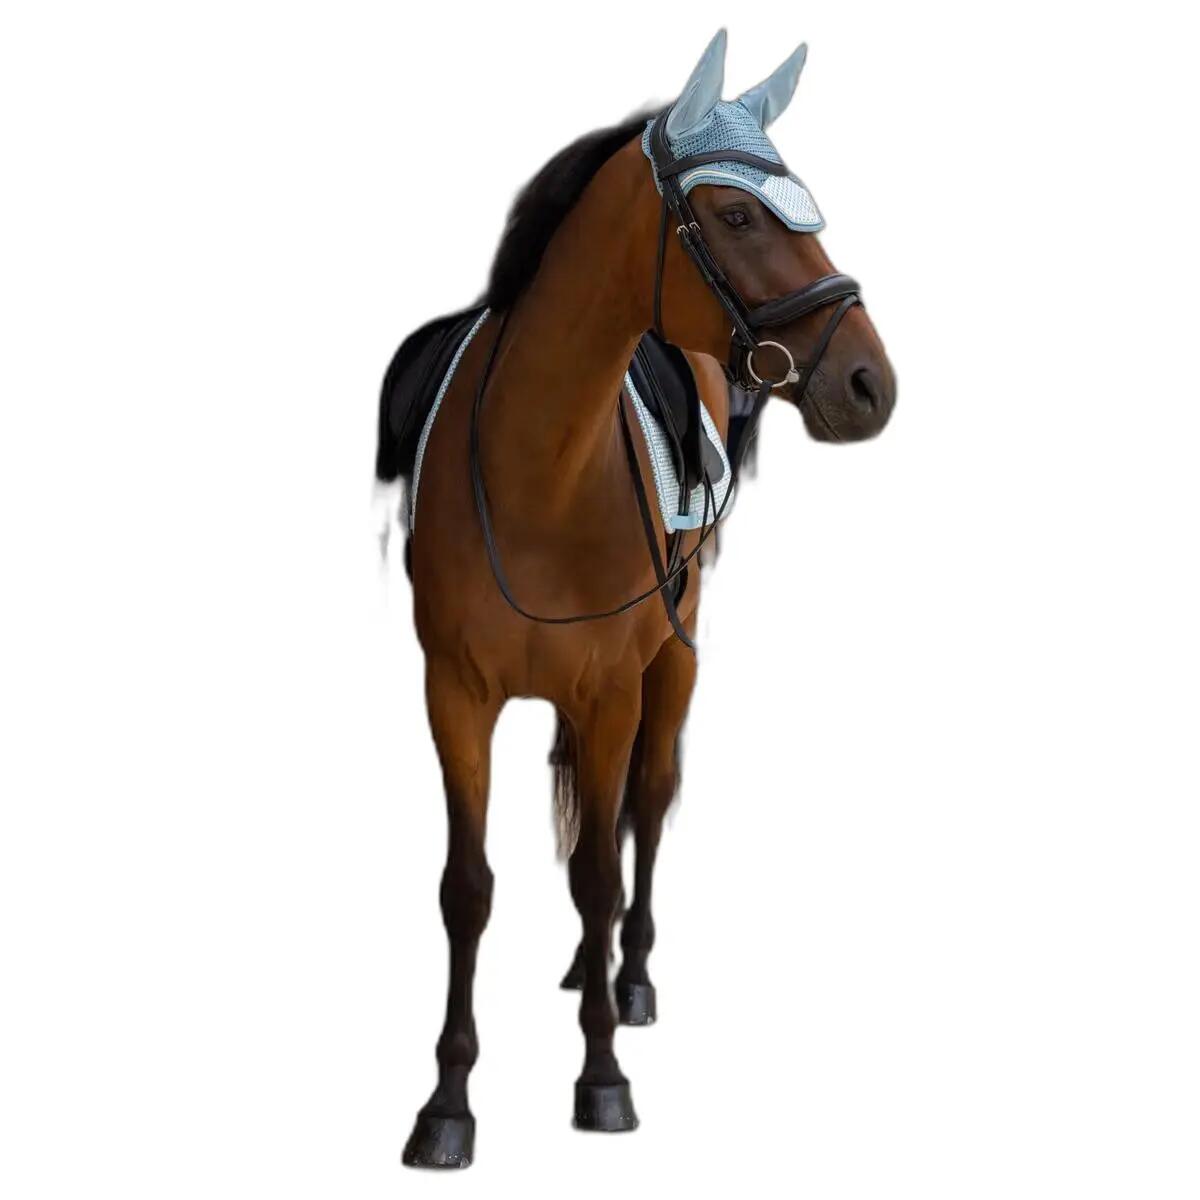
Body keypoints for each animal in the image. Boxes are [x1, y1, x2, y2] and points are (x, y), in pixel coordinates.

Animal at [375, 30, 896, 1167]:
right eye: (738, 215)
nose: (872, 385)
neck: (539, 470)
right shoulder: (454, 695)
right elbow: (468, 888)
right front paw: (447, 1104)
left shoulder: (615, 686)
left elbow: (602, 870)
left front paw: (602, 1076)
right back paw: (588, 968)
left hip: (675, 656)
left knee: (645, 811)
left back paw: (631, 978)